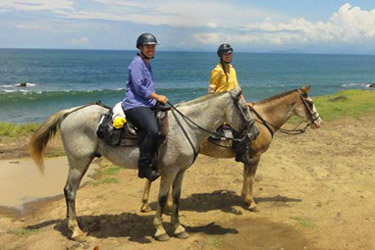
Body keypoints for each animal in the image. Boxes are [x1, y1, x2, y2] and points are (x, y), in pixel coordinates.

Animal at [30, 87, 258, 240]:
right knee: (70, 191)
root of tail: (69, 112)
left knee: (72, 191)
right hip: (78, 162)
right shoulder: (169, 171)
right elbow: (162, 198)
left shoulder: (180, 171)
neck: (185, 126)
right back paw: (76, 230)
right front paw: (160, 230)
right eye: (244, 109)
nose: (255, 132)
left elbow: (176, 198)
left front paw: (178, 228)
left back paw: (75, 226)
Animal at [141, 85, 324, 211]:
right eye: (310, 103)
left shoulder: (247, 156)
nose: (318, 122)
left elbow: (245, 175)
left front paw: (244, 197)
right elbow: (251, 177)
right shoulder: (256, 156)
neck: (263, 120)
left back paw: (146, 204)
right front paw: (251, 202)